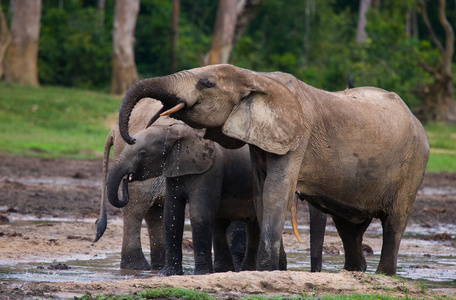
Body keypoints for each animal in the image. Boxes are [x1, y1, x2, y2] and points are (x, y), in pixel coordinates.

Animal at [94, 98, 167, 270]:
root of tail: (114, 128)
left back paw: (159, 267)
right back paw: (138, 267)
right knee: (136, 208)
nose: (128, 178)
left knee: (154, 212)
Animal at [116, 64, 430, 276]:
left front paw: (265, 270)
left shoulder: (297, 138)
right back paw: (353, 273)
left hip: (413, 164)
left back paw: (383, 274)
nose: (131, 136)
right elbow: (261, 194)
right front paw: (266, 269)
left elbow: (275, 193)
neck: (257, 78)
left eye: (206, 83)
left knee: (394, 222)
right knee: (348, 227)